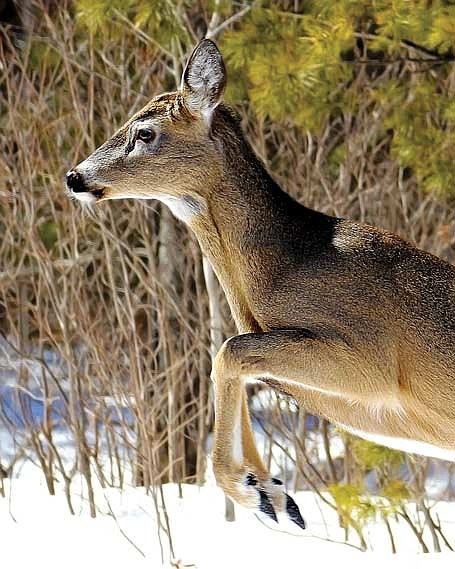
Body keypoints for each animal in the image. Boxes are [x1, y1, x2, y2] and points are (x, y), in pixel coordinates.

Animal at [66, 38, 455, 528]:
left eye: (145, 133)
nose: (74, 176)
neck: (282, 266)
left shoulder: (372, 359)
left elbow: (229, 351)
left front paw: (254, 492)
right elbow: (237, 356)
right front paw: (273, 494)